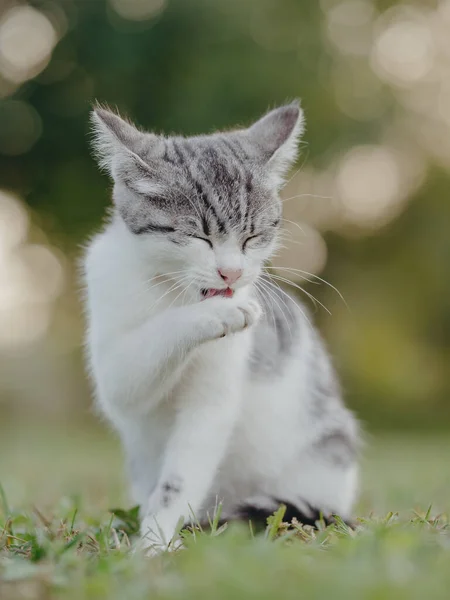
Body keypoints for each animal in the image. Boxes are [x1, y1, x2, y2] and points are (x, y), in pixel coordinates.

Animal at [82, 101, 360, 552]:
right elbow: (135, 370)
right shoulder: (114, 365)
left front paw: (157, 538)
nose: (232, 273)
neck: (174, 291)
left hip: (327, 453)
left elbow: (182, 473)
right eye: (199, 236)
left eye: (253, 237)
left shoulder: (214, 396)